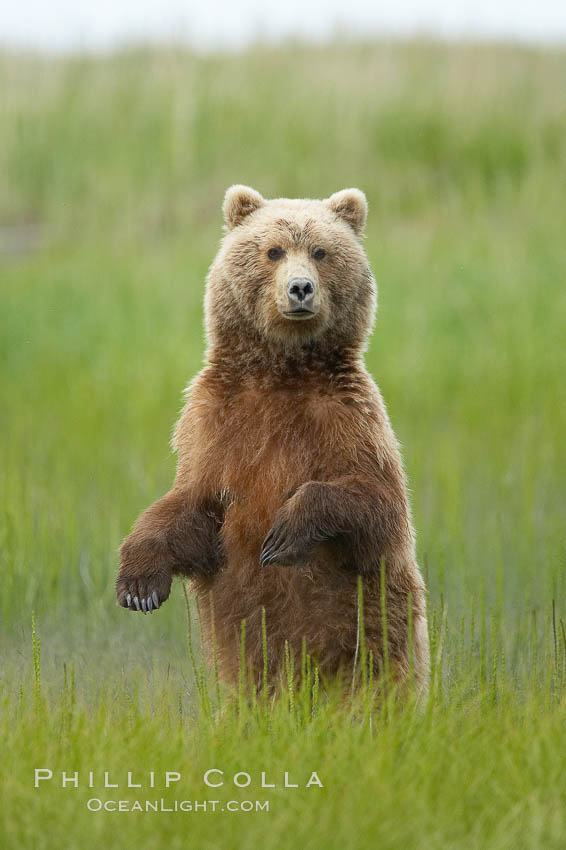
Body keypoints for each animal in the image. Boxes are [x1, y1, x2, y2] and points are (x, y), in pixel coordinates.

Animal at [117, 187, 432, 696]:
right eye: (273, 251)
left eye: (320, 251)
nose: (300, 288)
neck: (281, 373)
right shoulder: (216, 423)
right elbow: (192, 505)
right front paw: (139, 586)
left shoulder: (347, 417)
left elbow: (377, 501)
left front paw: (283, 534)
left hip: (375, 637)